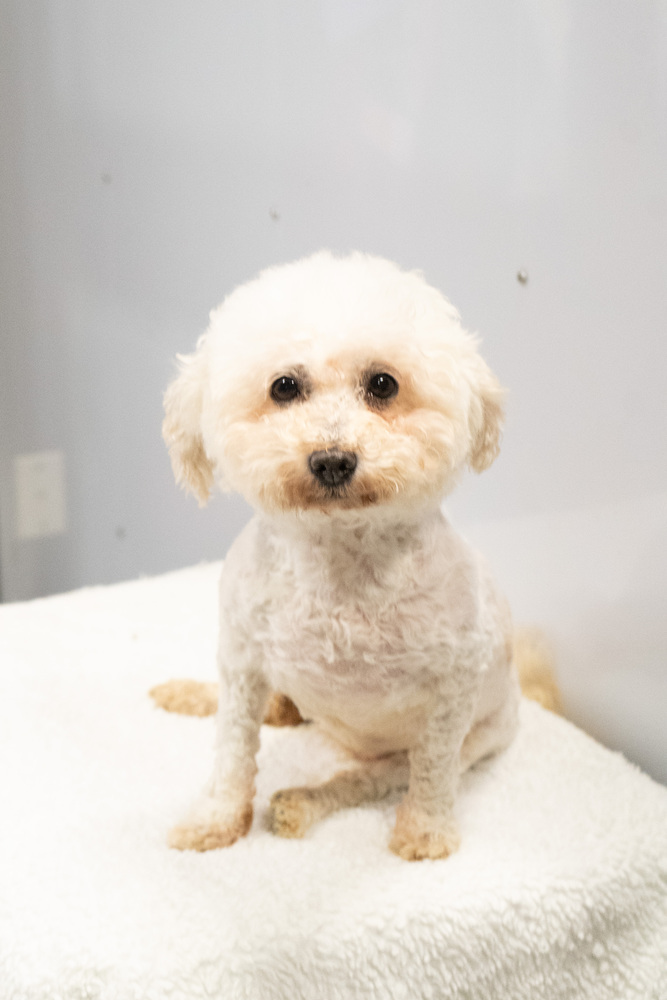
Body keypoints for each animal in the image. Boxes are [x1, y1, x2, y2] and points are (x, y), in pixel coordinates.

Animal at [160, 250, 520, 860]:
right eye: (284, 386)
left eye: (383, 384)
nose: (331, 460)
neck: (340, 567)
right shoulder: (241, 659)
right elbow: (232, 749)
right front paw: (216, 819)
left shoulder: (452, 693)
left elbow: (433, 772)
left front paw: (426, 833)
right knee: (272, 710)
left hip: (470, 738)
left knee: (368, 779)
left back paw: (300, 804)